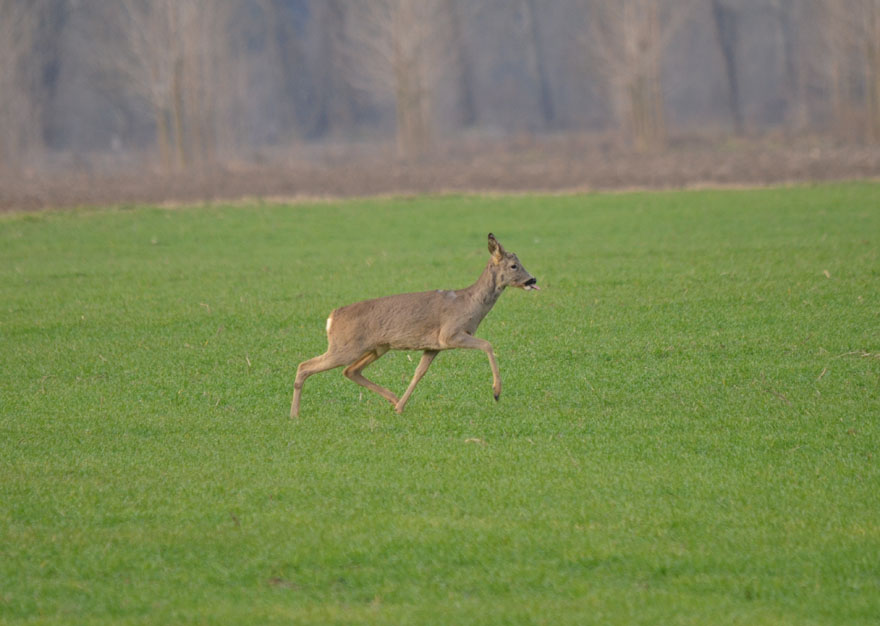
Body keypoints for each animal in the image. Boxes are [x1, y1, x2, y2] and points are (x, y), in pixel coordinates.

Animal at [290, 232, 536, 416]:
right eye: (514, 266)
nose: (532, 280)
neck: (469, 304)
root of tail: (331, 318)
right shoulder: (450, 333)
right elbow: (487, 344)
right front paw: (496, 392)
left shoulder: (433, 346)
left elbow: (419, 372)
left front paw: (400, 407)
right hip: (345, 347)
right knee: (305, 366)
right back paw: (294, 415)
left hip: (377, 347)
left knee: (350, 371)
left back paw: (392, 399)